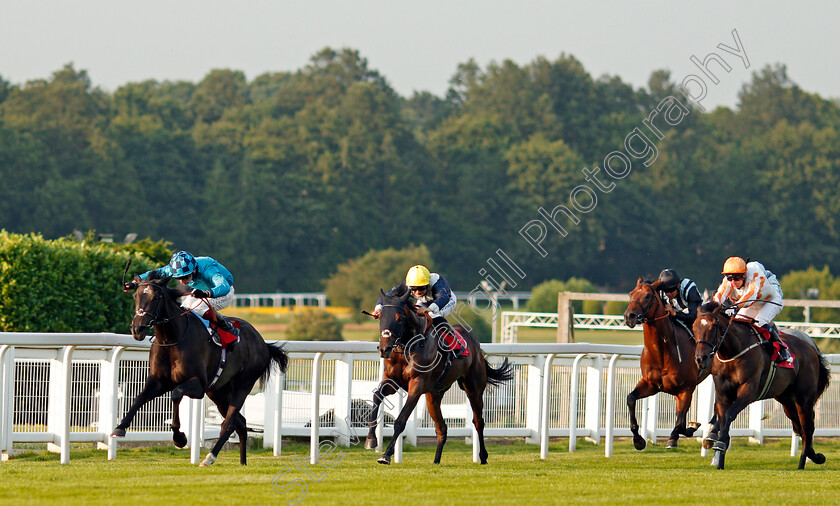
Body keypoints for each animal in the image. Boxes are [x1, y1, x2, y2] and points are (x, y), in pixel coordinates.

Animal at [111, 276, 288, 466]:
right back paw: (242, 463)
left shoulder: (199, 385)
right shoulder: (158, 381)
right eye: (135, 296)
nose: (137, 329)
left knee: (229, 423)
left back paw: (210, 457)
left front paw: (180, 438)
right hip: (219, 392)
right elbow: (139, 398)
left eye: (156, 297)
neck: (172, 338)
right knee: (240, 423)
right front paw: (119, 428)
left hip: (243, 385)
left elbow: (176, 394)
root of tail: (262, 343)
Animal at [364, 290, 516, 464]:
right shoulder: (392, 381)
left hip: (474, 389)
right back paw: (436, 461)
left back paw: (483, 457)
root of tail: (476, 345)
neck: (408, 346)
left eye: (399, 318)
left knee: (478, 421)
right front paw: (371, 440)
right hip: (434, 395)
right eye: (381, 316)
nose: (384, 348)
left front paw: (386, 454)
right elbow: (377, 396)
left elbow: (401, 420)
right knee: (441, 427)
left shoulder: (416, 386)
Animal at [624, 280, 708, 450]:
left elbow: (680, 422)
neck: (662, 351)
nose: (629, 316)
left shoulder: (687, 388)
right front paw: (638, 440)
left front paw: (675, 437)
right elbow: (631, 398)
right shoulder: (651, 384)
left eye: (648, 296)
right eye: (631, 293)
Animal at [692, 300, 832, 470]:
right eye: (694, 327)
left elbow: (730, 414)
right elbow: (724, 417)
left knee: (807, 427)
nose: (701, 358)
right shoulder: (723, 393)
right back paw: (814, 456)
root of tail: (811, 347)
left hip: (803, 397)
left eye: (713, 327)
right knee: (798, 426)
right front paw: (719, 459)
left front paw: (718, 444)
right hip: (786, 399)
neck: (732, 352)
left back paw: (802, 463)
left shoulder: (748, 390)